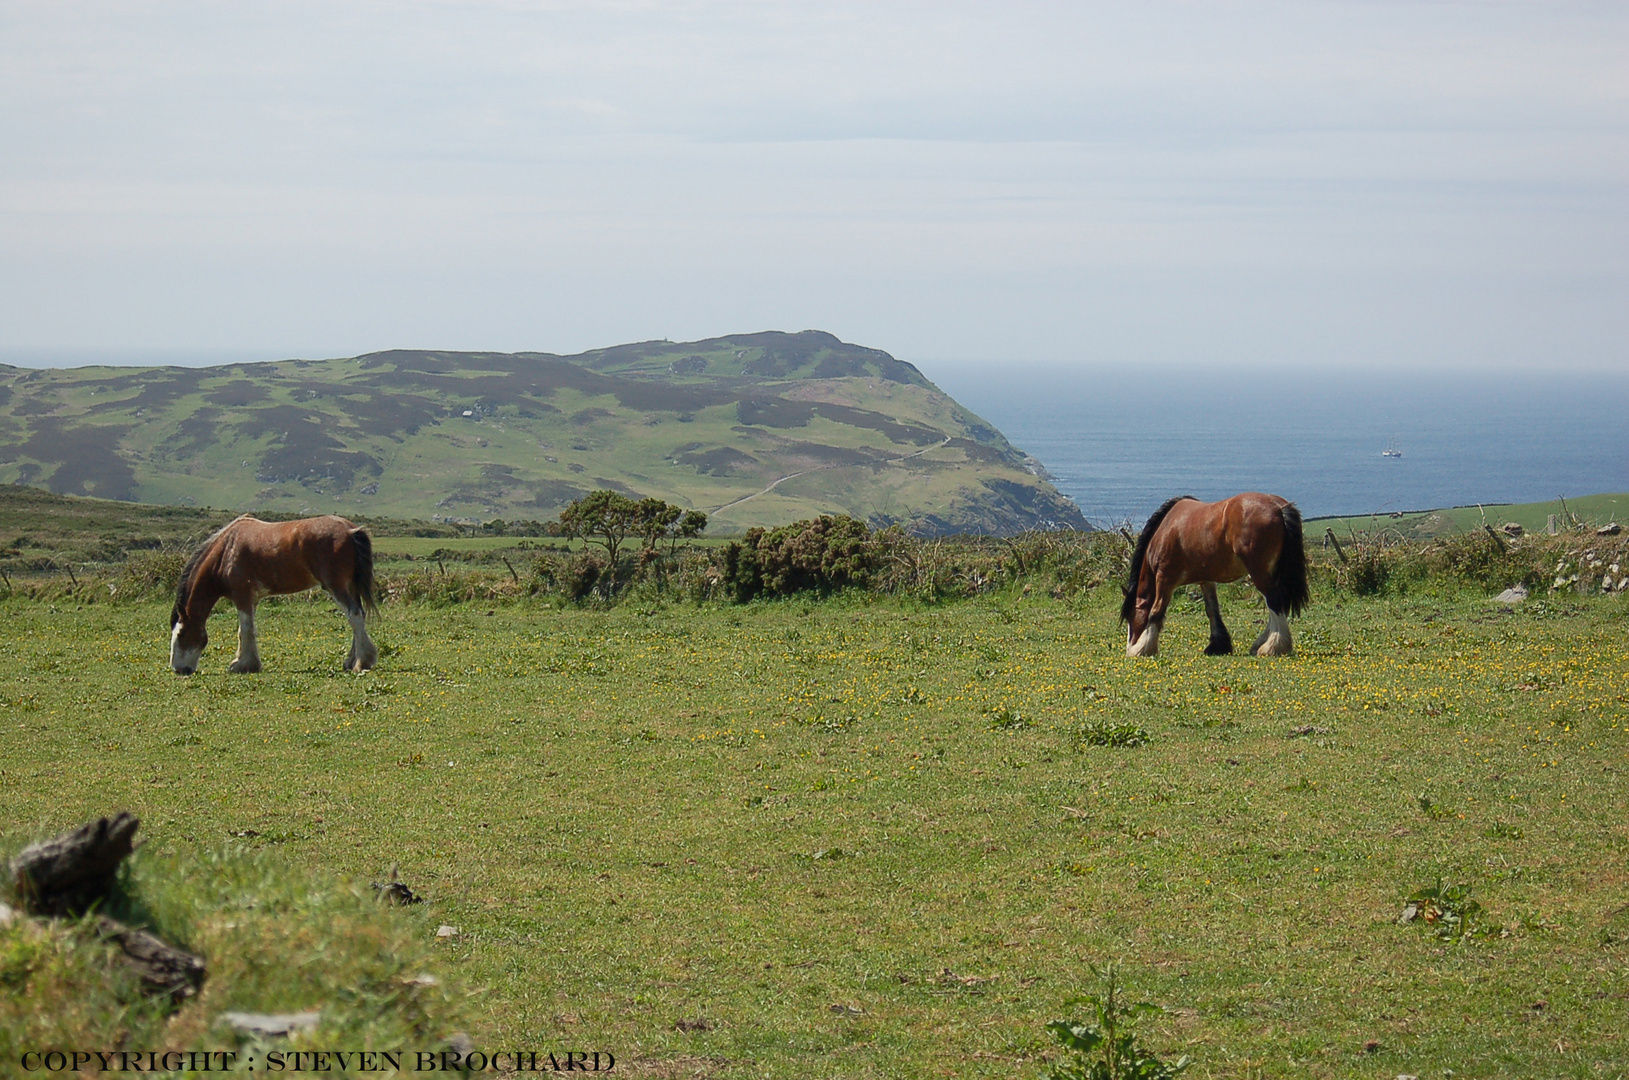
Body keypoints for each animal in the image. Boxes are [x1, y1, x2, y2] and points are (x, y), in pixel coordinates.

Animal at [169, 514, 381, 677]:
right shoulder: (252, 600)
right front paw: (248, 662)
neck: (226, 550)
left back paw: (361, 662)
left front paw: (242, 665)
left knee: (354, 615)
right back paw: (351, 661)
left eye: (181, 634)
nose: (178, 669)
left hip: (336, 586)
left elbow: (244, 630)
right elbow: (247, 629)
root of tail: (351, 531)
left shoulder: (242, 596)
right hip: (350, 586)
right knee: (358, 616)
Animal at [1120, 491, 1309, 658]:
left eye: (1130, 616)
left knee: (1274, 601)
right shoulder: (1206, 580)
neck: (1165, 528)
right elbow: (1212, 610)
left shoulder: (1164, 578)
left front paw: (1143, 648)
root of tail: (1278, 507)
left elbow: (1156, 610)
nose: (1129, 648)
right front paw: (1218, 645)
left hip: (1259, 571)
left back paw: (1273, 647)